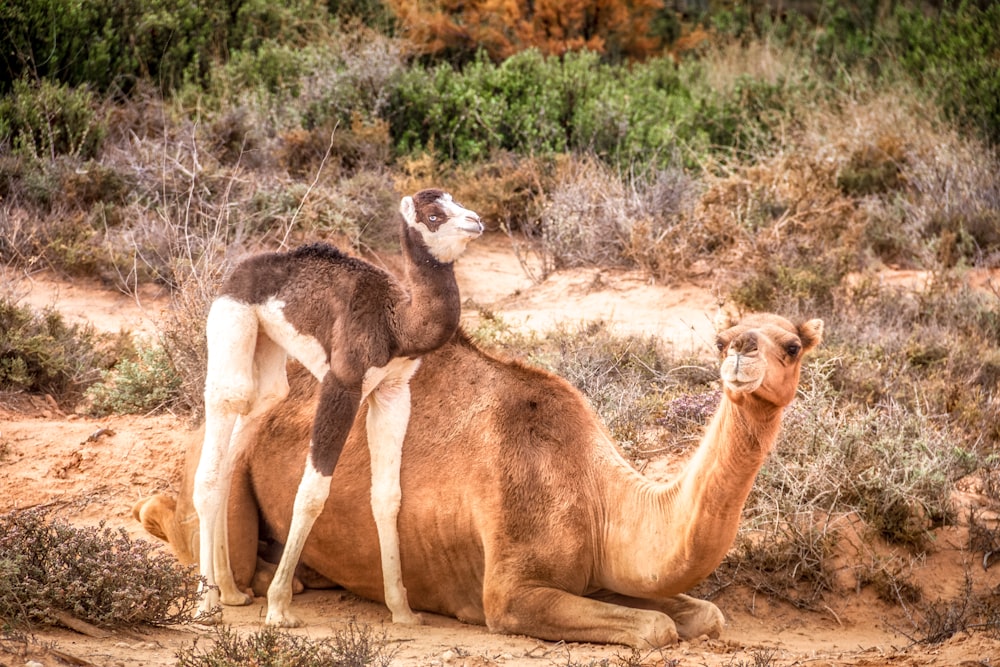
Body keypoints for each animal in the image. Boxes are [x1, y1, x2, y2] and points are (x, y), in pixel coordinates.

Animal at [135, 312, 820, 648]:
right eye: (723, 339)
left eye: (792, 344)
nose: (743, 355)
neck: (599, 494)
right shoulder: (510, 592)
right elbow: (656, 629)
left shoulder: (599, 573)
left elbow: (703, 614)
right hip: (226, 466)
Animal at [193, 188, 482, 628]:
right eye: (434, 214)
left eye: (456, 201)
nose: (476, 221)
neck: (397, 325)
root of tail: (238, 270)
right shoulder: (342, 385)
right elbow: (312, 492)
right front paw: (279, 608)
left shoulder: (393, 392)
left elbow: (387, 497)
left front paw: (403, 610)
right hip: (232, 327)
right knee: (220, 430)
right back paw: (205, 603)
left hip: (269, 360)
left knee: (246, 433)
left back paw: (230, 591)